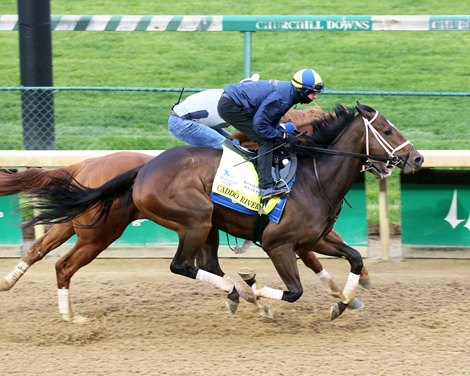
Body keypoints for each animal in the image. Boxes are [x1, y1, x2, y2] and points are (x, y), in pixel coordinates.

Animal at [24, 103, 422, 320]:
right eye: (387, 130)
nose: (417, 158)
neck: (313, 176)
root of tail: (144, 170)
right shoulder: (278, 243)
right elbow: (294, 290)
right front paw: (261, 293)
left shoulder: (316, 238)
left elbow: (354, 258)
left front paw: (343, 302)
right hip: (192, 219)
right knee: (182, 266)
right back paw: (240, 292)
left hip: (204, 226)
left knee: (204, 266)